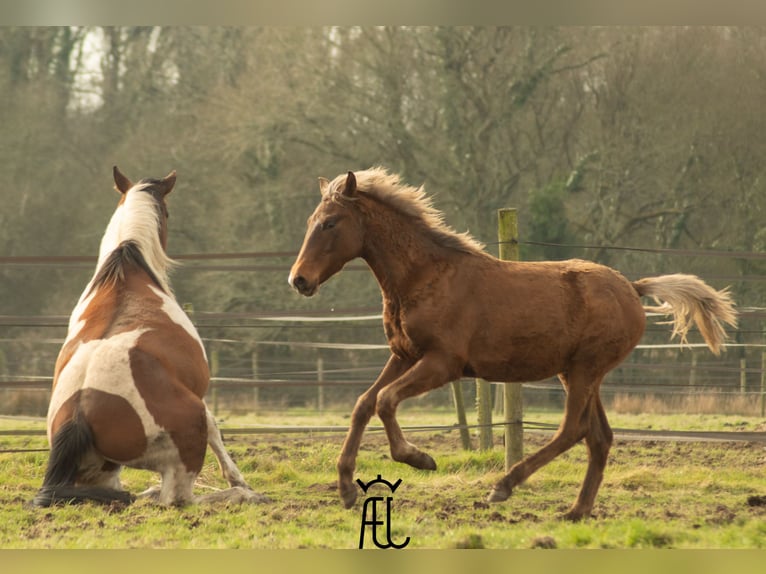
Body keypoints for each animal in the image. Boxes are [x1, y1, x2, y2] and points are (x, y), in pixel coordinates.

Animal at [33, 168, 270, 508]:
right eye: (168, 212)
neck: (125, 271)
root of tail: (78, 417)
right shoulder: (198, 396)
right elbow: (214, 424)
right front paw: (238, 479)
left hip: (99, 470)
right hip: (182, 452)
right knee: (179, 499)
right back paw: (244, 495)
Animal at [292, 166, 740, 520]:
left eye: (330, 223)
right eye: (311, 219)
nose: (299, 280)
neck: (426, 277)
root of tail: (633, 287)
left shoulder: (443, 363)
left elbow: (385, 401)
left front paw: (419, 458)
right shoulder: (403, 355)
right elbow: (363, 404)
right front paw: (346, 489)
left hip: (584, 370)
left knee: (573, 430)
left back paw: (504, 486)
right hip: (578, 372)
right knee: (598, 437)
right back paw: (576, 511)